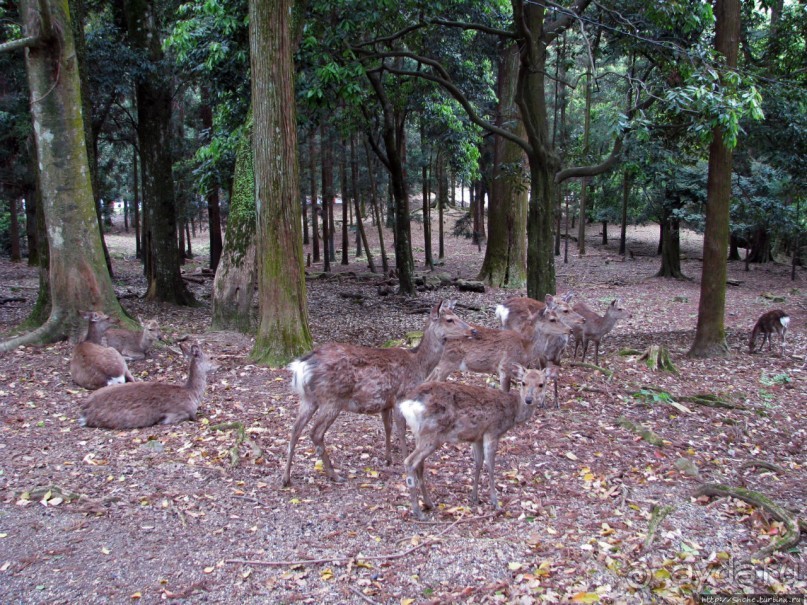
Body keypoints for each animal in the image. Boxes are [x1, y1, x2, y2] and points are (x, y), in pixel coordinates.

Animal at [284, 300, 476, 488]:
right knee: (315, 433)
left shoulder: (386, 403)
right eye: (450, 319)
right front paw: (403, 460)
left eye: (457, 315)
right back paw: (334, 475)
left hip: (308, 399)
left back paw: (286, 478)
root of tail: (301, 366)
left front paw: (388, 459)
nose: (473, 330)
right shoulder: (401, 396)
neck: (419, 365)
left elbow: (387, 427)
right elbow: (401, 429)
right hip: (331, 399)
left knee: (295, 429)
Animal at [398, 364, 548, 520]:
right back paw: (418, 511)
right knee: (409, 462)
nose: (529, 400)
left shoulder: (477, 436)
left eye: (541, 384)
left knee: (419, 464)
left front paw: (474, 496)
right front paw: (495, 502)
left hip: (419, 434)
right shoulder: (492, 431)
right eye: (523, 382)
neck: (512, 412)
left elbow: (478, 463)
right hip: (432, 434)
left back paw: (428, 503)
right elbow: (491, 466)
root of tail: (408, 404)